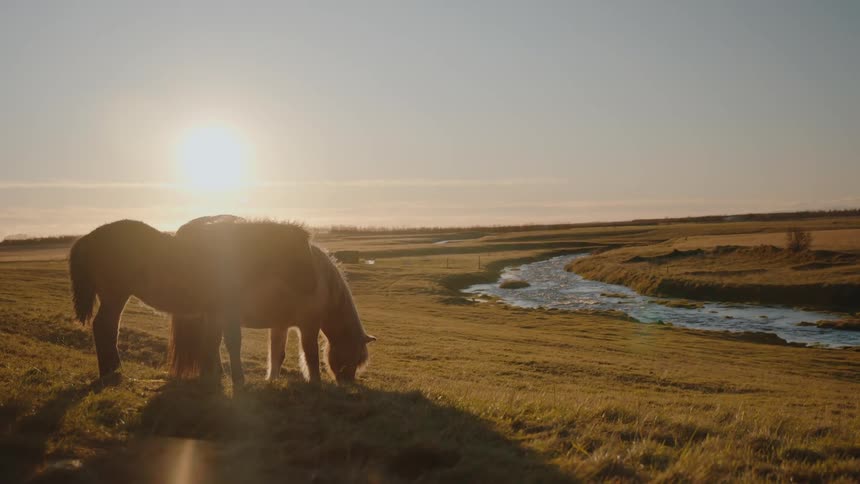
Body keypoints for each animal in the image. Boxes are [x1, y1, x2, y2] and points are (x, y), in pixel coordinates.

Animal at [169, 216, 376, 386]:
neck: (323, 283)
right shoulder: (309, 325)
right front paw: (315, 381)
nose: (347, 384)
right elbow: (311, 354)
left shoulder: (280, 324)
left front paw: (272, 379)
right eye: (354, 355)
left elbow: (278, 353)